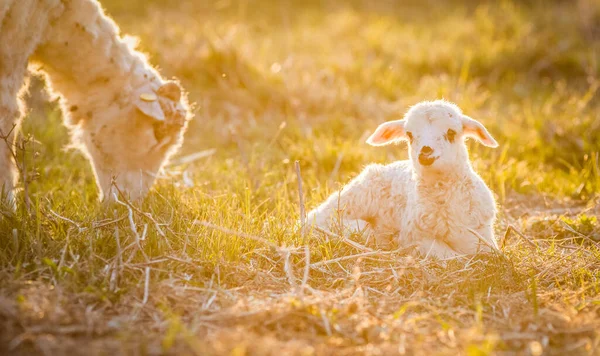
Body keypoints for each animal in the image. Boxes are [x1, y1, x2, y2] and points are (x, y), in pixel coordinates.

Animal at [308, 99, 500, 258]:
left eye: (451, 132)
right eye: (409, 134)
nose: (425, 152)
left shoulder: (483, 234)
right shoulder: (417, 239)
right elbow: (452, 256)